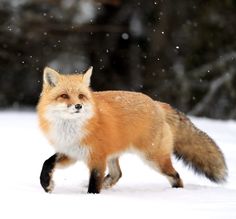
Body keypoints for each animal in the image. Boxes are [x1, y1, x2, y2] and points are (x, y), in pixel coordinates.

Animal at [37, 66, 227, 193]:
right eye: (64, 96)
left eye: (81, 96)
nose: (78, 106)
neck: (70, 131)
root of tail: (157, 104)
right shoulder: (71, 152)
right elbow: (47, 163)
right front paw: (47, 185)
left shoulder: (96, 158)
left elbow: (94, 184)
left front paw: (92, 198)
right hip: (114, 154)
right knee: (117, 174)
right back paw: (107, 186)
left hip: (153, 158)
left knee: (176, 176)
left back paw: (177, 193)